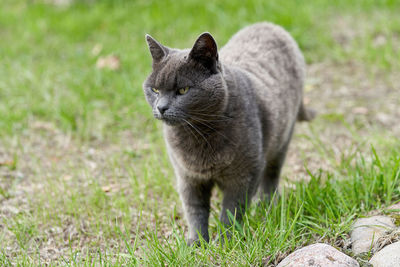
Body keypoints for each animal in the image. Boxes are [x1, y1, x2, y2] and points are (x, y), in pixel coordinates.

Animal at [142, 22, 314, 246]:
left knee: (271, 176)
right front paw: (196, 243)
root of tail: (271, 25)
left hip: (282, 138)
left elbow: (232, 211)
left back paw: (267, 207)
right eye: (154, 90)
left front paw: (227, 242)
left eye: (183, 90)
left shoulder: (243, 175)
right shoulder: (188, 177)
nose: (161, 107)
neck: (198, 134)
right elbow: (195, 210)